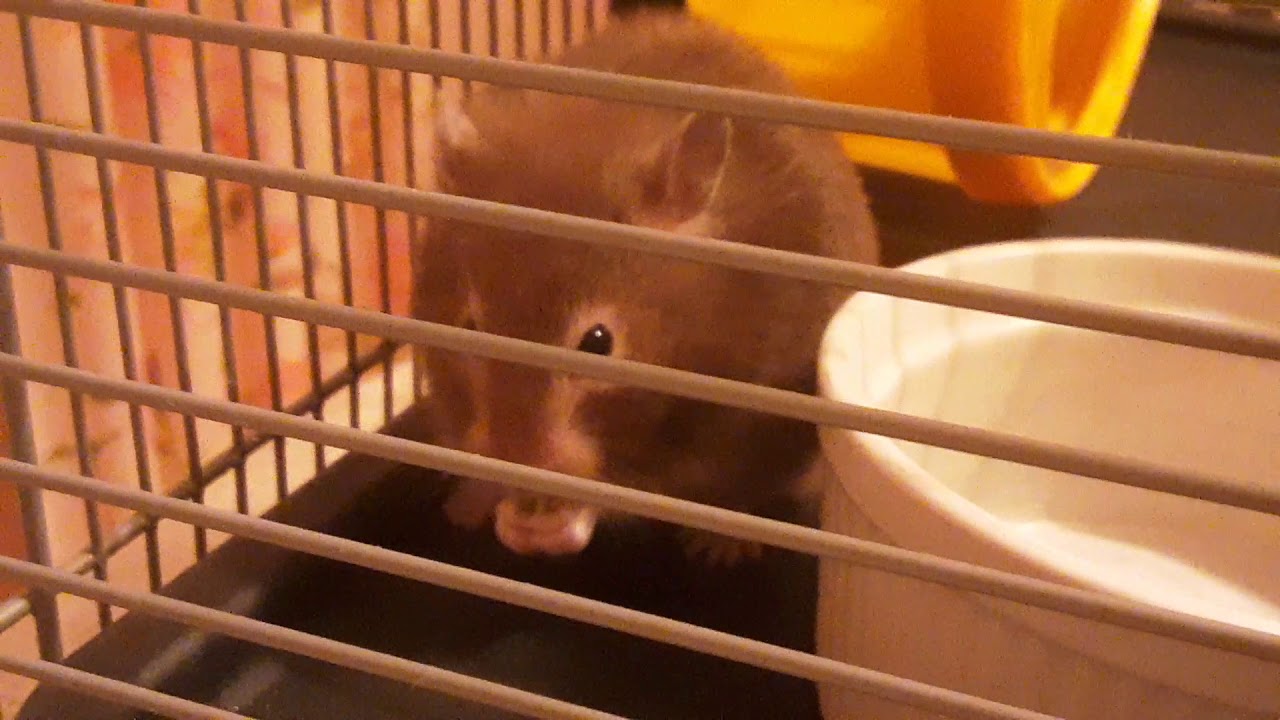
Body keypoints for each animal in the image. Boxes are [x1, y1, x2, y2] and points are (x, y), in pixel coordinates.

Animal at [412, 9, 879, 564]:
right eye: (469, 326)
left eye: (598, 342)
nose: (516, 458)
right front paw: (504, 515)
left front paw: (549, 530)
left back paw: (720, 548)